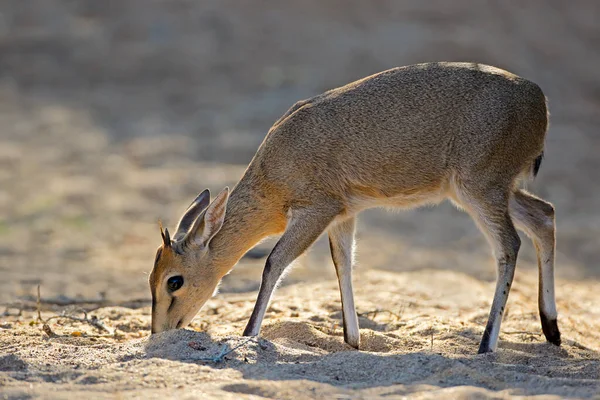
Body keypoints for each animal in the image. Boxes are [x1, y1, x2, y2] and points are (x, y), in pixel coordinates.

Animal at [148, 62, 560, 354]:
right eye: (151, 278)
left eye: (174, 280)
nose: (158, 333)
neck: (274, 175)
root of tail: (539, 98)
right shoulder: (344, 214)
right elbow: (343, 263)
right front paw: (352, 339)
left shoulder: (316, 209)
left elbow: (273, 263)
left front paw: (248, 335)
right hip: (495, 189)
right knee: (544, 215)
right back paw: (552, 331)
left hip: (479, 189)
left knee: (509, 244)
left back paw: (486, 345)